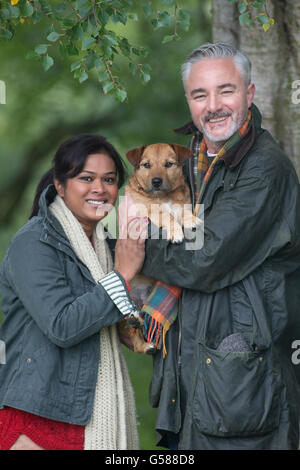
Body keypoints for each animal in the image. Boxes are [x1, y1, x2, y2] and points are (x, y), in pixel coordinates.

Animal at [118, 141, 202, 354]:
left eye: (169, 164)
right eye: (146, 165)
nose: (156, 181)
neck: (164, 197)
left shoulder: (182, 203)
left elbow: (182, 211)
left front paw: (191, 220)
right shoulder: (149, 210)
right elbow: (167, 216)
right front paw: (176, 232)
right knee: (132, 333)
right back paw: (141, 337)